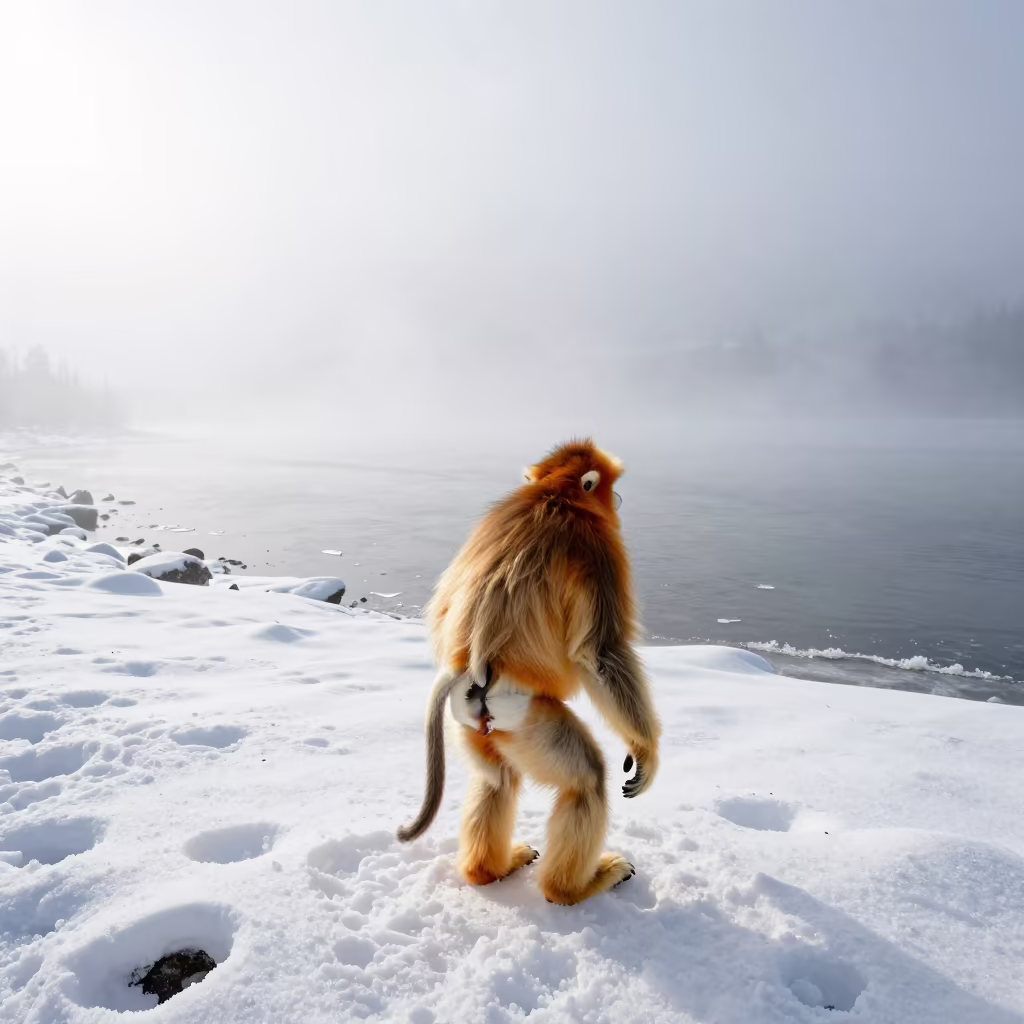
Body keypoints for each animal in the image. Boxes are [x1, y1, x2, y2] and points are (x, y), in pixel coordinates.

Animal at [397, 439, 661, 905]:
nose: (618, 500)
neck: (554, 496)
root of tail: (469, 669)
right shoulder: (598, 549)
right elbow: (599, 654)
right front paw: (646, 751)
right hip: (526, 714)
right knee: (586, 781)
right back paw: (573, 888)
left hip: (476, 724)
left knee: (497, 781)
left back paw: (488, 871)